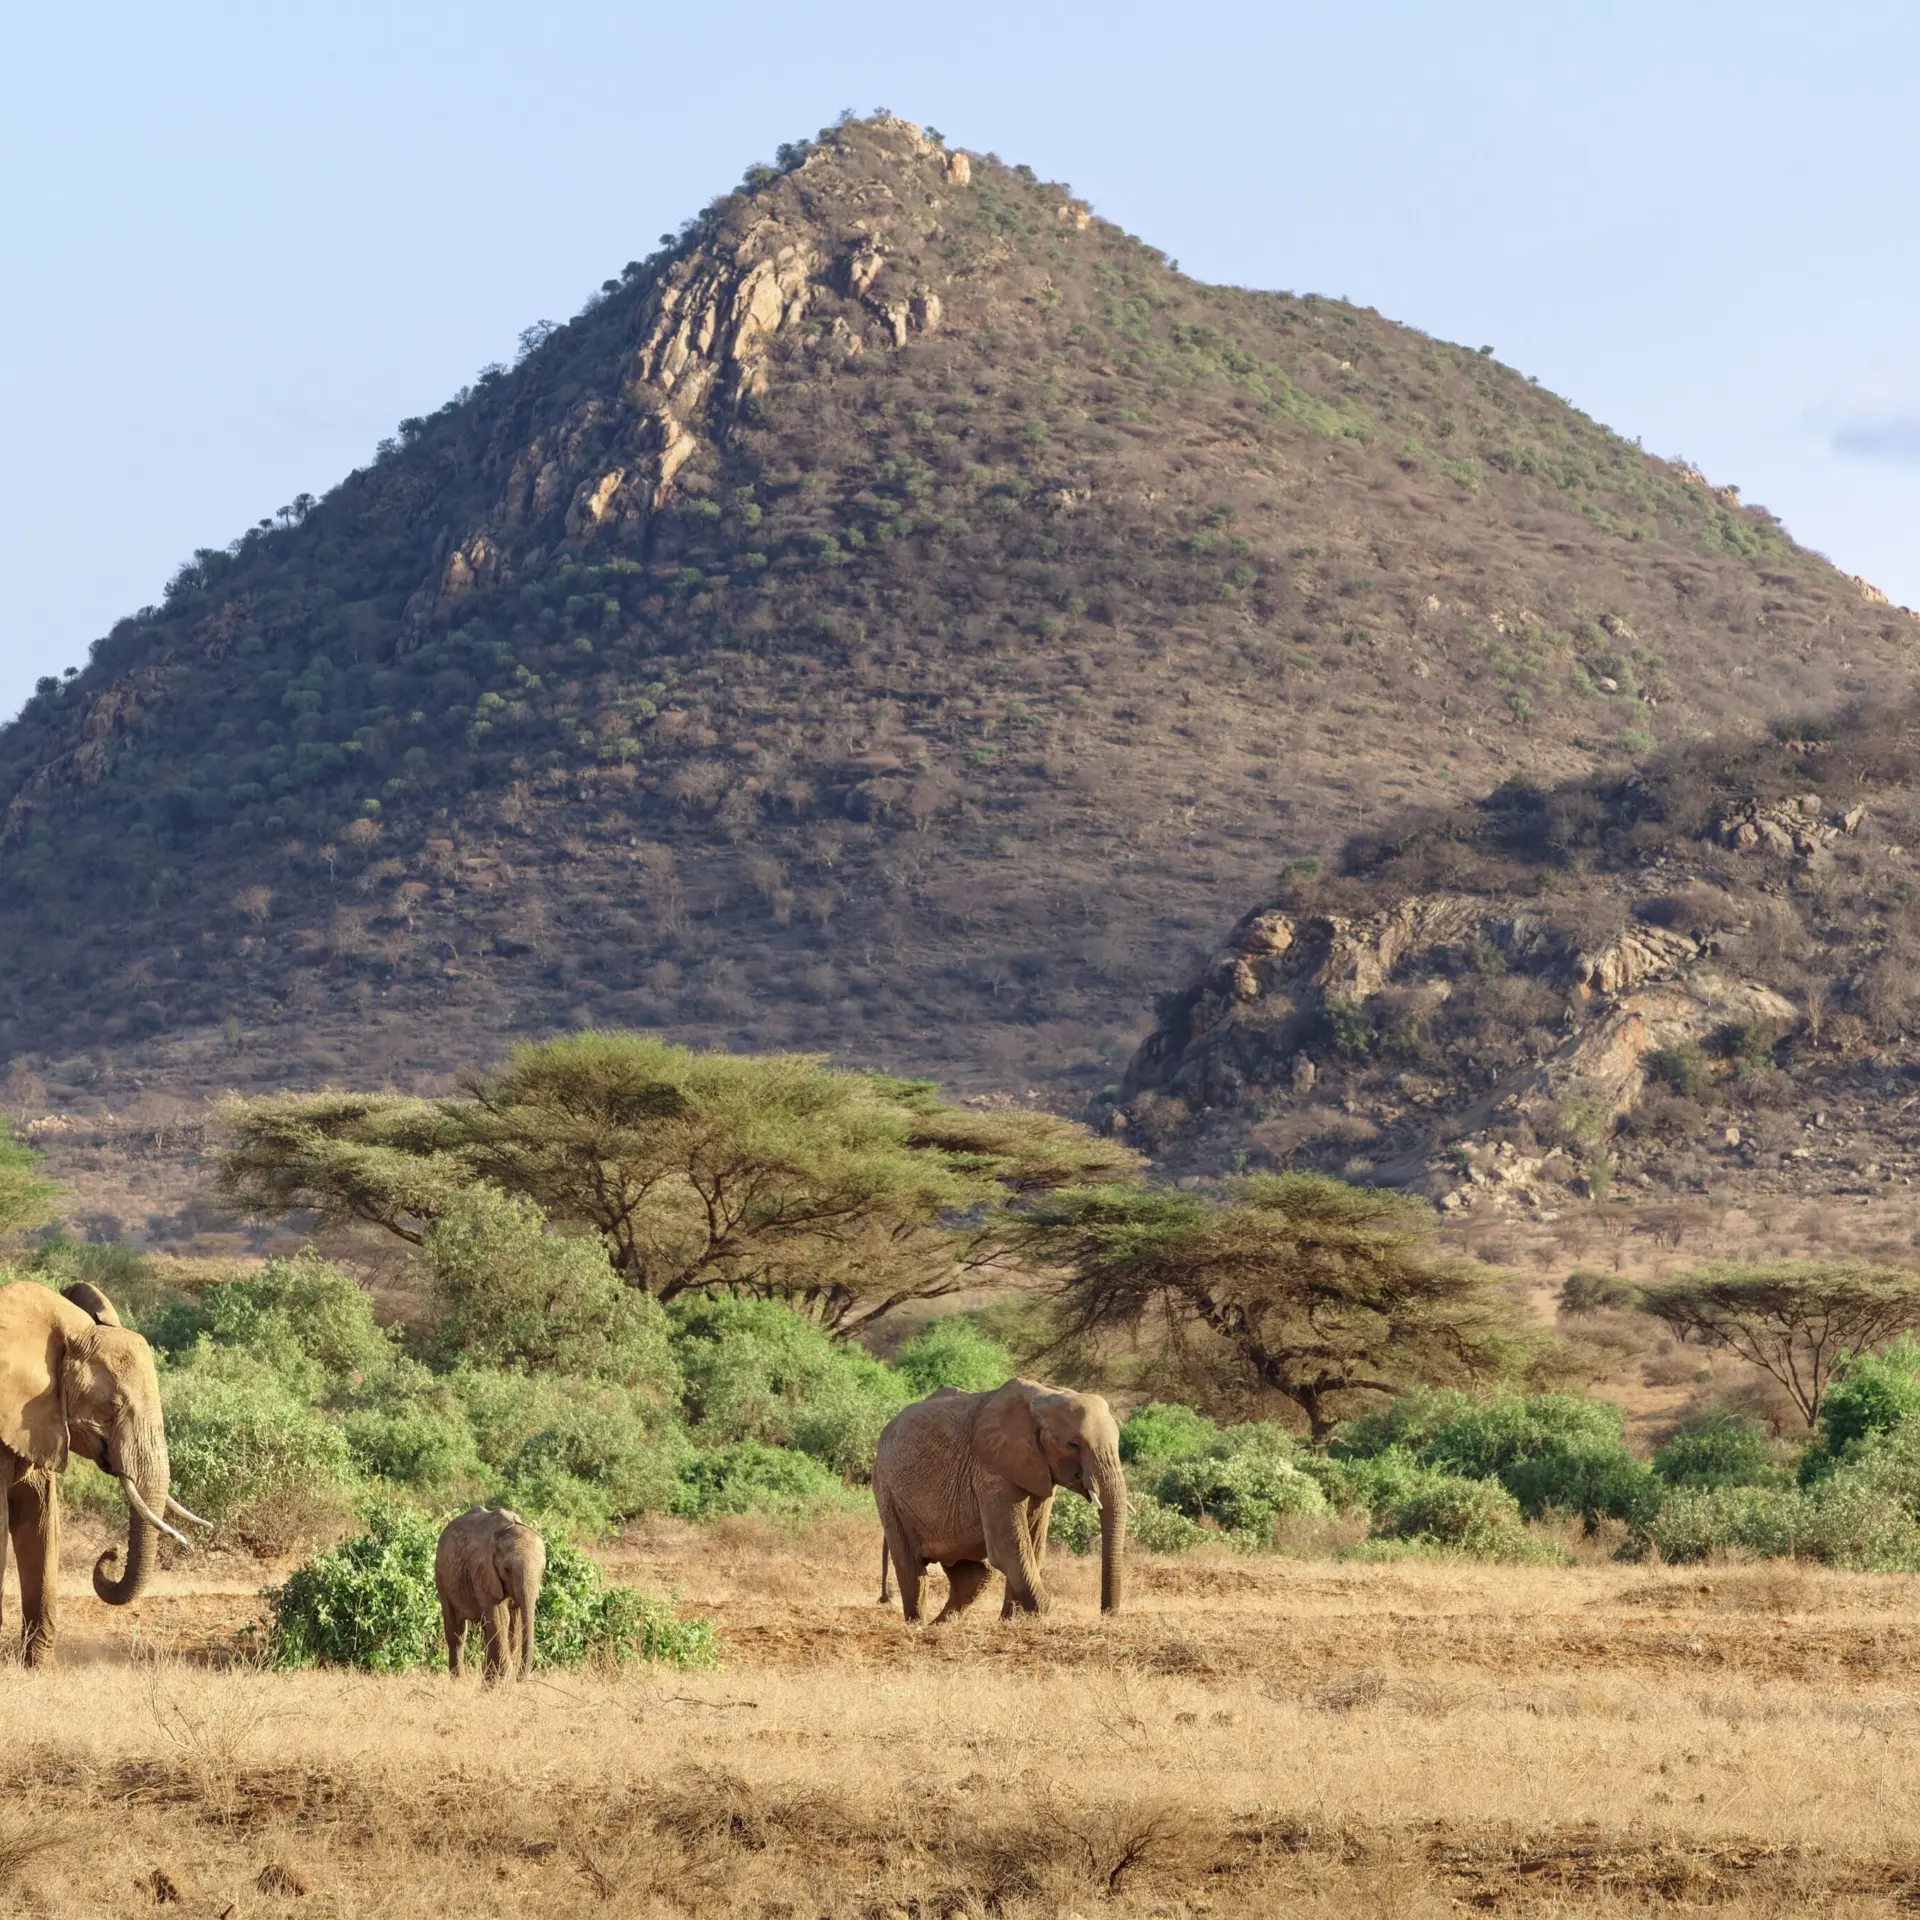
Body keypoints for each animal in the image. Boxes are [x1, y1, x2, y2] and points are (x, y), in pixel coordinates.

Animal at [434, 1505, 546, 1682]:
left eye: (543, 1570)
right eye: (507, 1569)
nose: (520, 1679)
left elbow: (514, 1621)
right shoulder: (483, 1571)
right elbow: (501, 1616)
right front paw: (504, 1680)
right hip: (442, 1575)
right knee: (457, 1632)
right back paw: (459, 1681)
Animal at [871, 1379, 1126, 1624]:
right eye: (1073, 1444)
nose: (1107, 1615)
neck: (1044, 1396)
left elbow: (1033, 1545)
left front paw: (1011, 1621)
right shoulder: (990, 1470)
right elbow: (1009, 1548)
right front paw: (1044, 1615)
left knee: (974, 1575)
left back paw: (941, 1624)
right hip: (887, 1492)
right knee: (910, 1567)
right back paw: (917, 1624)